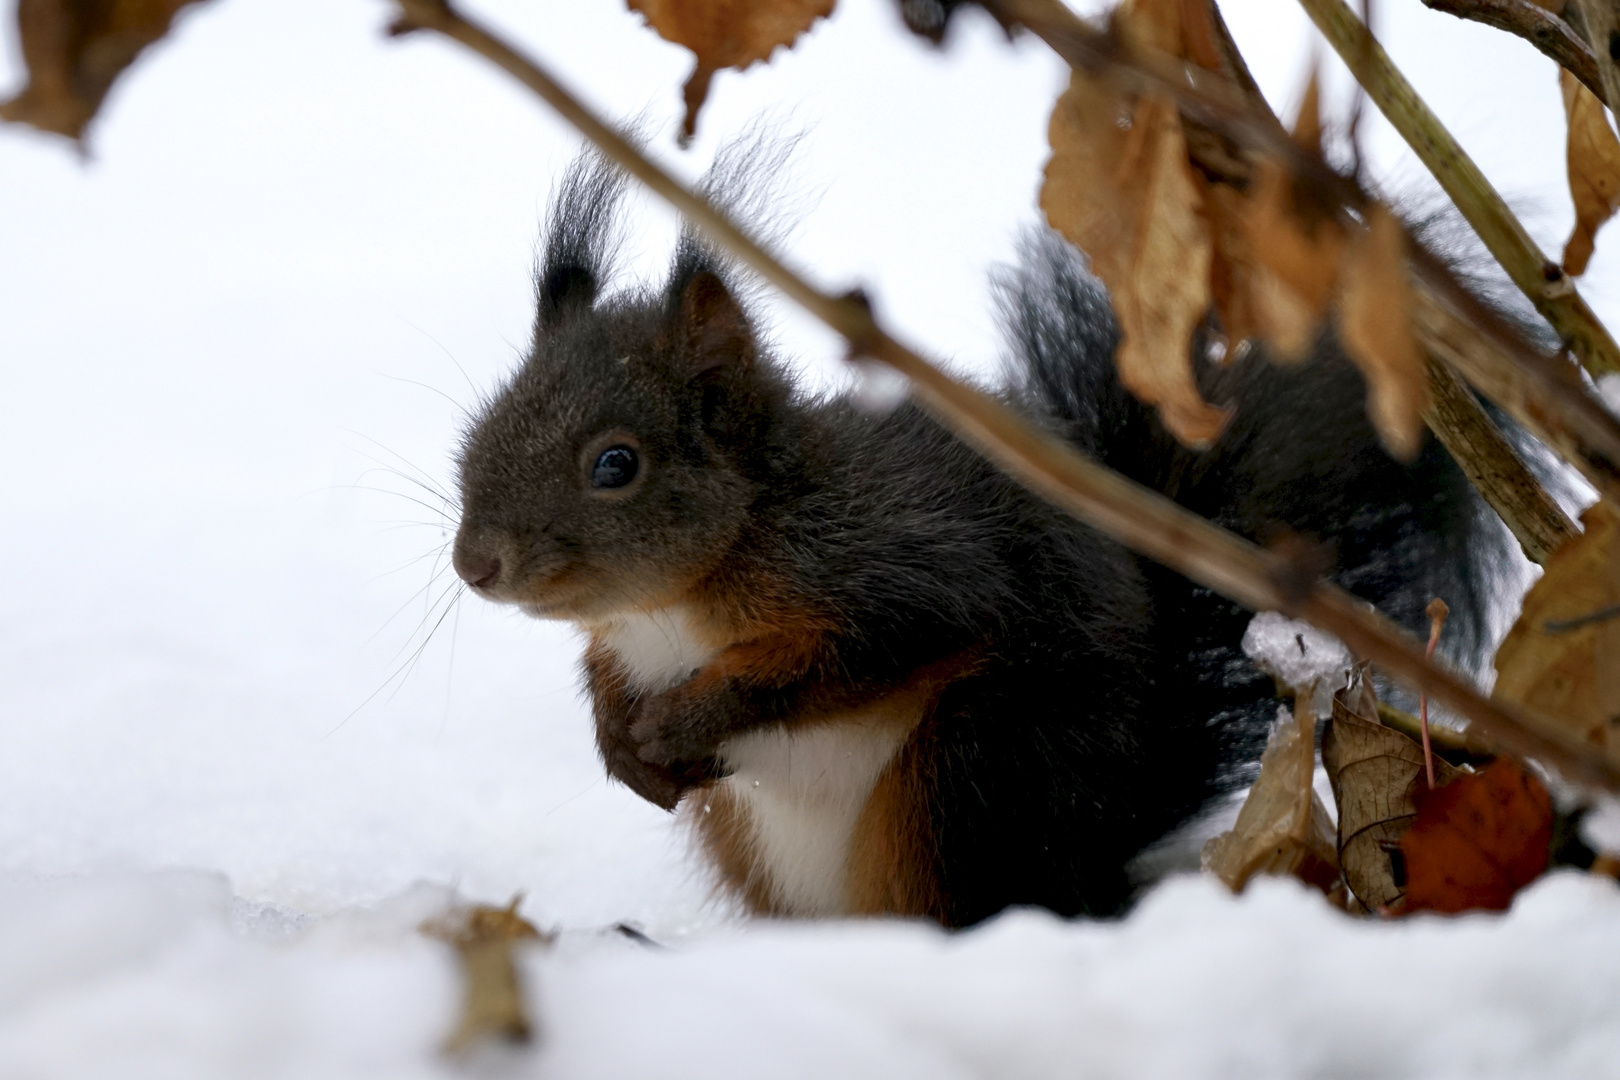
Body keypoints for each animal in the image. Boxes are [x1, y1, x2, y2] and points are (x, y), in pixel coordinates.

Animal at [450, 153, 1496, 932]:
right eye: (486, 420)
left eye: (615, 464)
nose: (475, 565)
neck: (672, 605)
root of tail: (1102, 861)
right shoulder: (628, 639)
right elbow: (603, 676)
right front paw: (617, 739)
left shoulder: (898, 568)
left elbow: (847, 658)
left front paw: (686, 720)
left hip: (972, 774)